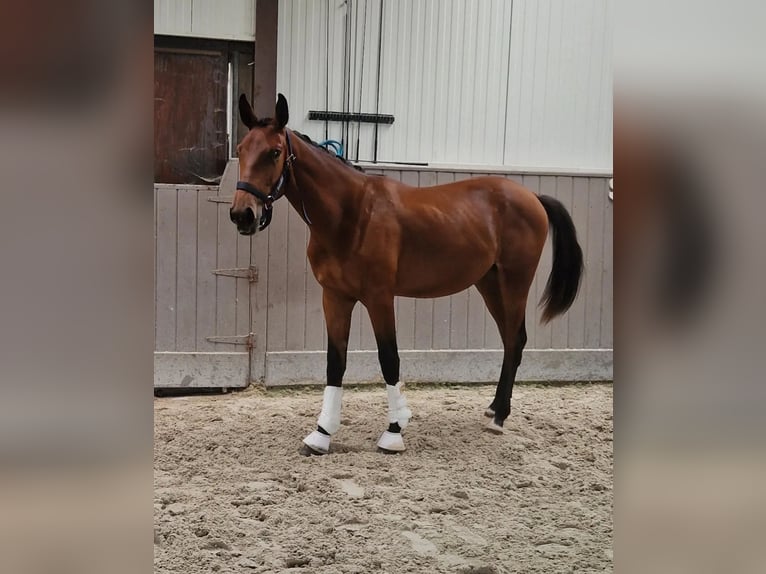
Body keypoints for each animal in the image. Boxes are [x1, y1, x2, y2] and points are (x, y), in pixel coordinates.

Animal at [231, 93, 584, 454]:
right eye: (242, 148)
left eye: (274, 152)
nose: (243, 214)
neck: (352, 214)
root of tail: (532, 197)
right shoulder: (335, 297)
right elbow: (335, 362)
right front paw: (321, 434)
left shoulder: (379, 298)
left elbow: (389, 358)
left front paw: (394, 431)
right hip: (489, 284)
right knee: (510, 340)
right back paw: (494, 408)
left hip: (515, 283)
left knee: (515, 338)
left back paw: (499, 418)